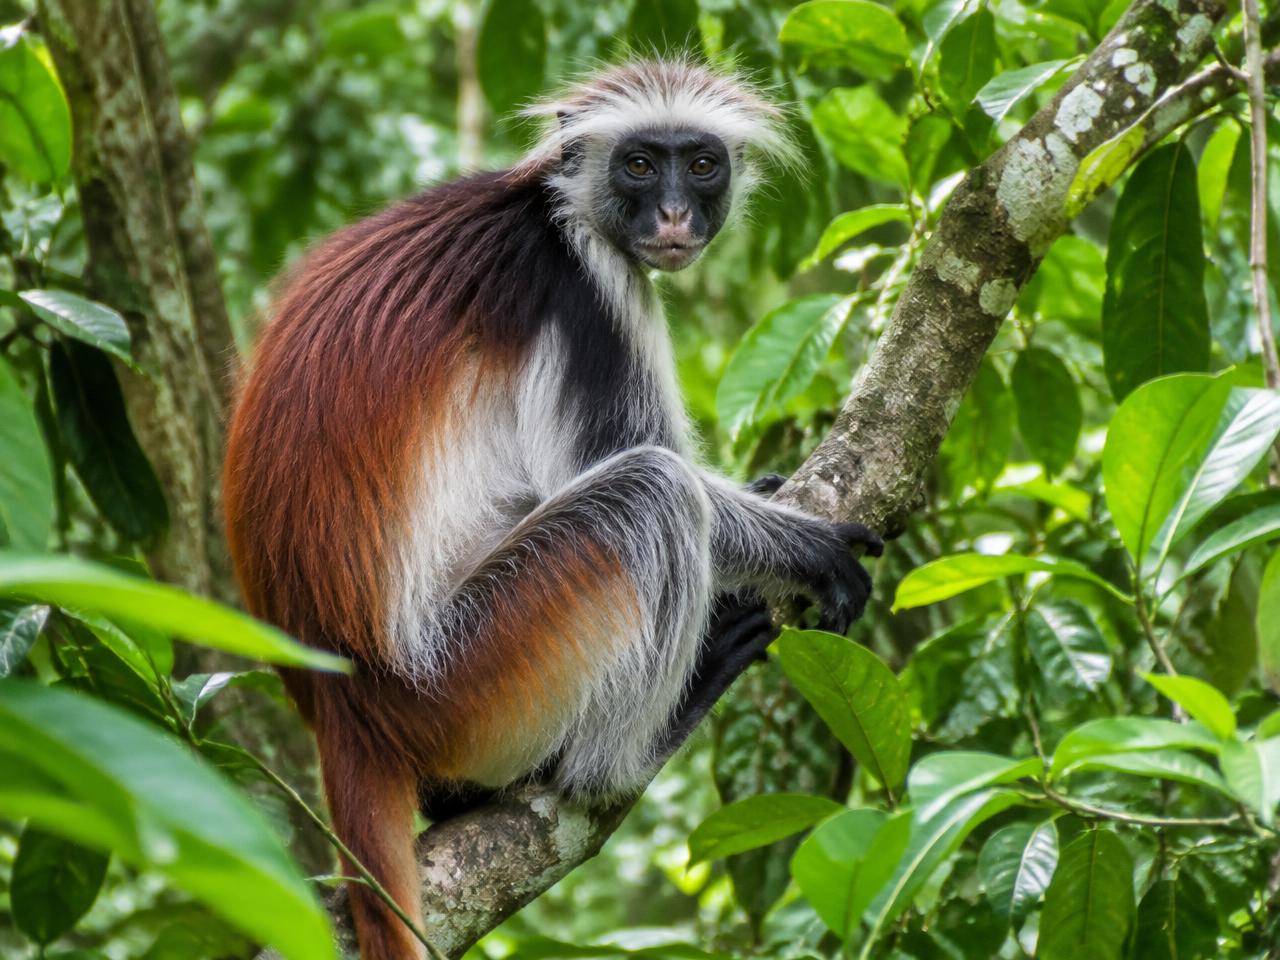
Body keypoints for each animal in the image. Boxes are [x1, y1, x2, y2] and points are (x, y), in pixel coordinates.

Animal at [223, 59, 882, 960]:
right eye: (639, 165)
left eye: (700, 164)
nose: (674, 214)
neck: (550, 206)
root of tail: (344, 706)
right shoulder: (588, 289)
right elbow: (637, 460)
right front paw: (807, 548)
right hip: (471, 670)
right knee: (652, 492)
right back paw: (623, 756)